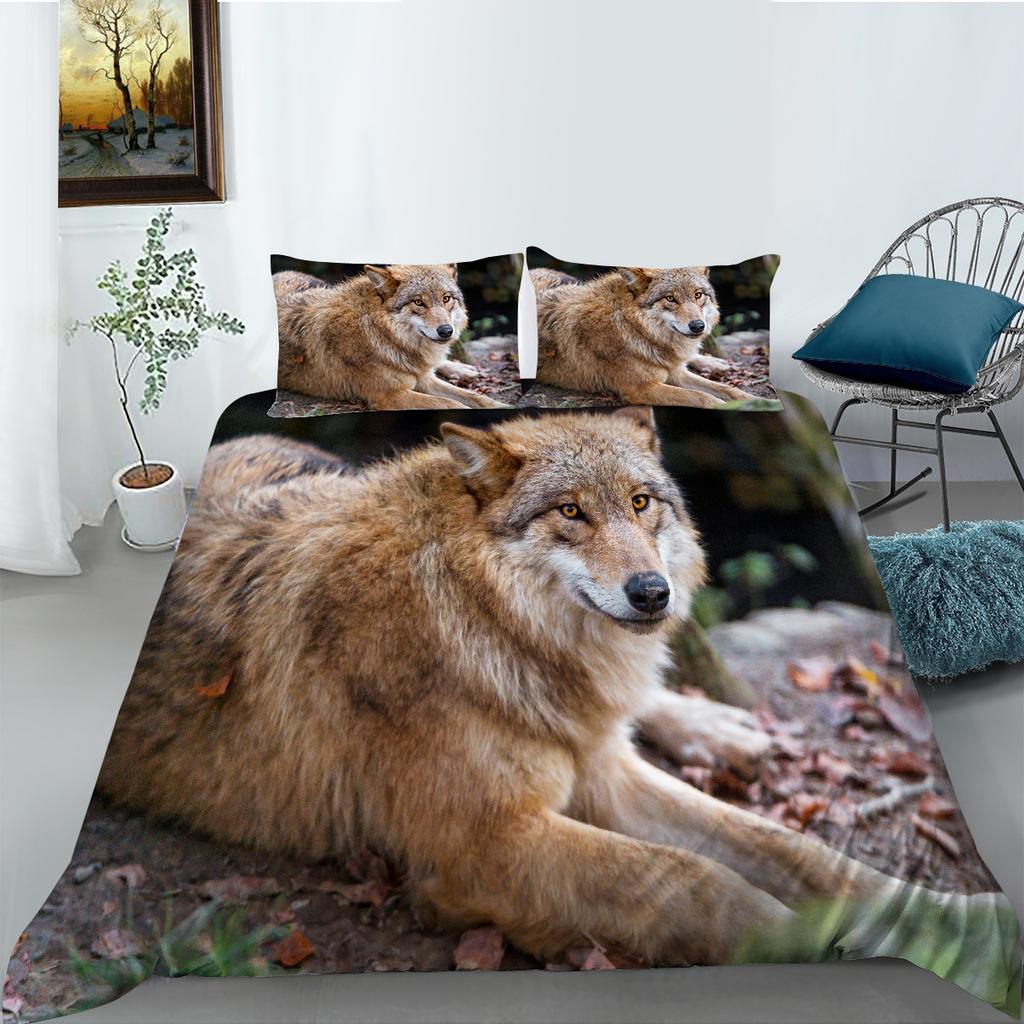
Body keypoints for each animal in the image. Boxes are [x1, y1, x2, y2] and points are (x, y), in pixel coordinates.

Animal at [98, 411, 994, 967]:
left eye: (640, 503)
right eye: (570, 513)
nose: (652, 593)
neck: (483, 623)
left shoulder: (600, 776)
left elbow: (798, 851)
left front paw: (956, 924)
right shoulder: (482, 847)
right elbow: (696, 879)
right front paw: (815, 949)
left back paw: (723, 728)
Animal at [274, 264, 506, 411]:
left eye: (446, 299)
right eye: (418, 302)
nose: (446, 331)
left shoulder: (424, 381)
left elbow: (476, 397)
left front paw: (502, 406)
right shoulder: (391, 397)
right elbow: (452, 404)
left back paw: (463, 369)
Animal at [533, 266, 756, 407]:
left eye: (698, 295)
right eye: (670, 299)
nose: (698, 326)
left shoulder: (675, 374)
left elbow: (729, 390)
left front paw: (758, 401)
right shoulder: (642, 389)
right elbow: (703, 397)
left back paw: (716, 363)